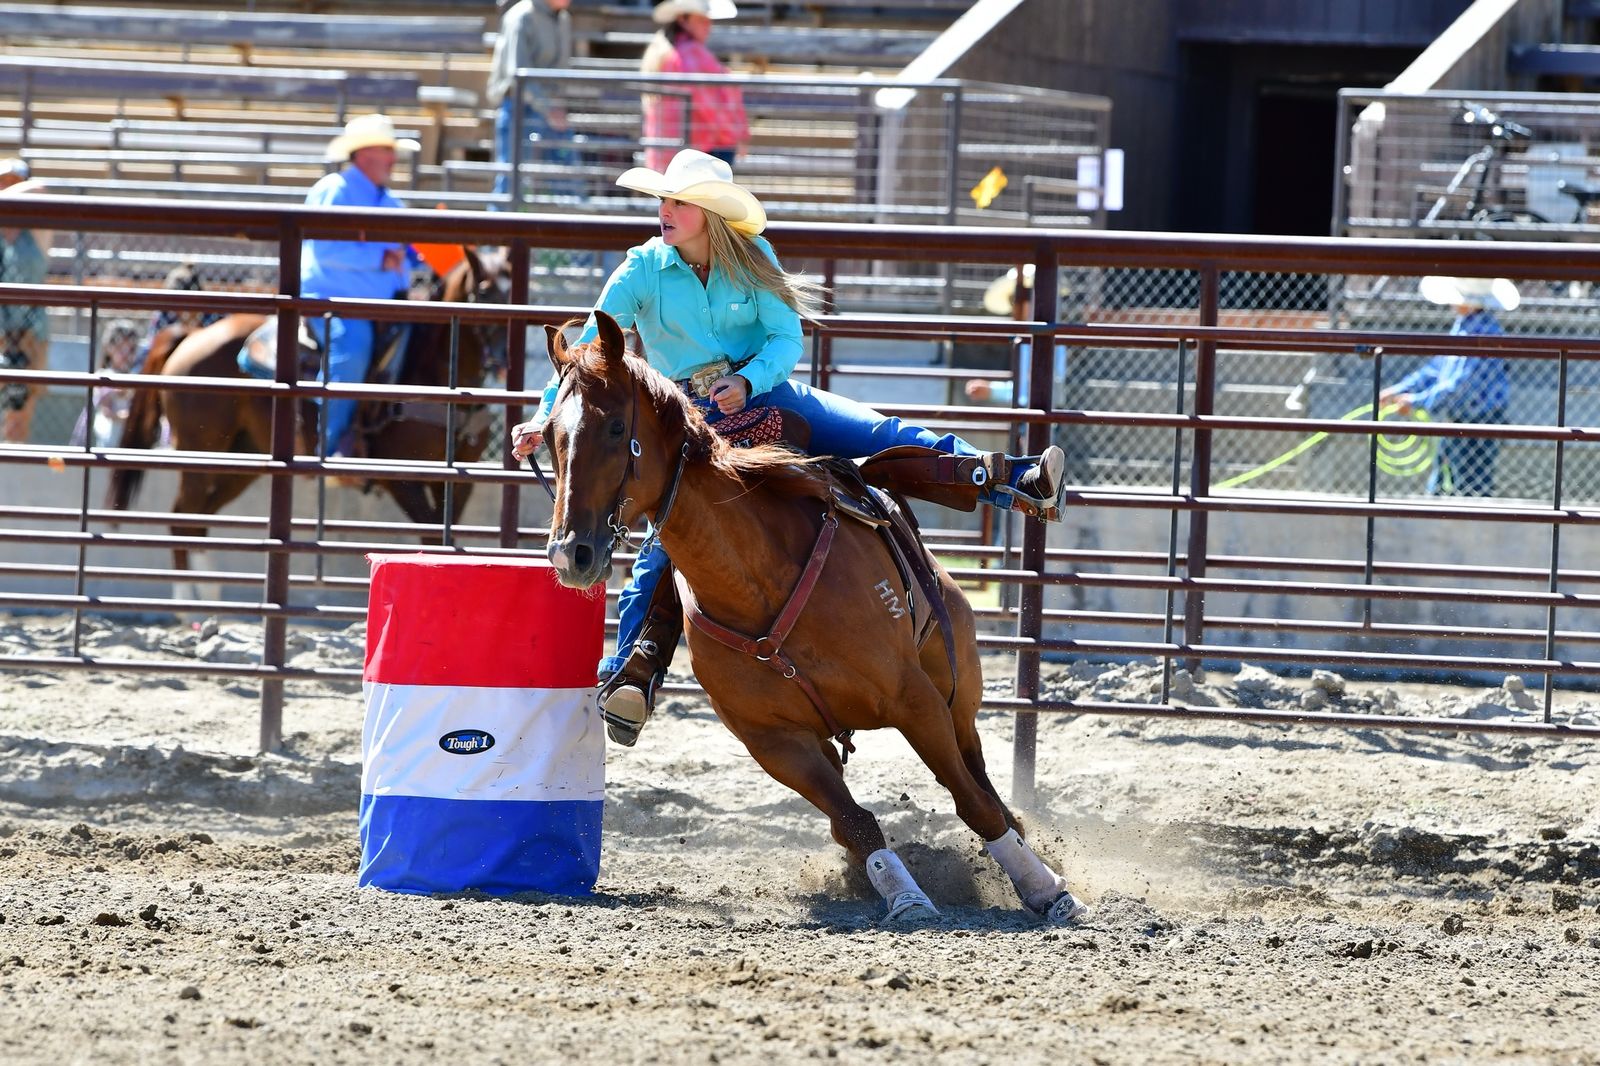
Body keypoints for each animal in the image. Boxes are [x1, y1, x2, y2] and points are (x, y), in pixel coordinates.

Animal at [108, 251, 510, 573]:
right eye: (483, 292)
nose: (505, 358)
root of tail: (191, 336)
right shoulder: (400, 477)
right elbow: (433, 537)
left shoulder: (459, 480)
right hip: (200, 452)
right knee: (182, 518)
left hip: (241, 458)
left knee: (197, 521)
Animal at [539, 310, 1088, 924]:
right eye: (551, 434)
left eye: (615, 428)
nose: (571, 554)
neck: (756, 579)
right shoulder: (775, 742)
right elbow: (854, 820)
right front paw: (904, 896)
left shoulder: (914, 700)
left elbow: (971, 802)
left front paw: (1046, 889)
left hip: (958, 694)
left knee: (982, 782)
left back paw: (1026, 476)